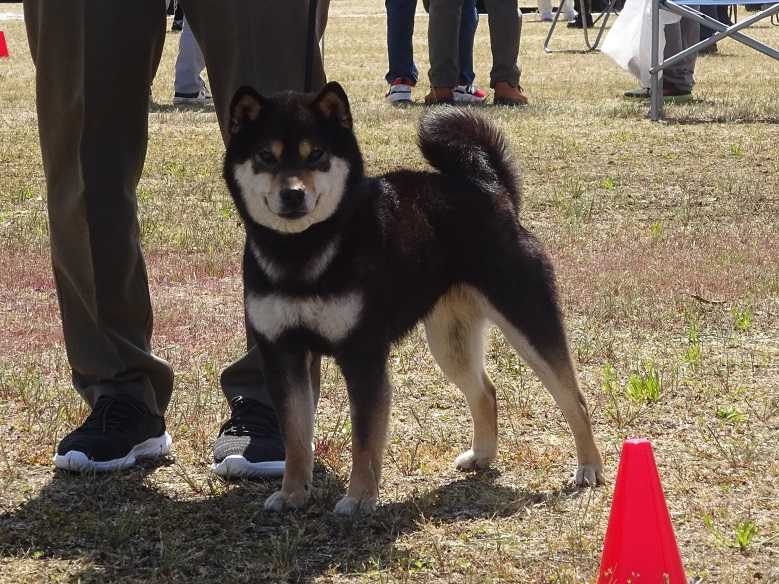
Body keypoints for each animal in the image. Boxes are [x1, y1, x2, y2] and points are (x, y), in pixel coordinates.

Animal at [223, 82, 604, 515]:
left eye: (316, 154)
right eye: (265, 156)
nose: (292, 194)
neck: (302, 251)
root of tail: (491, 189)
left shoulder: (363, 355)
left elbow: (365, 440)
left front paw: (359, 498)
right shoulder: (281, 353)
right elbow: (296, 437)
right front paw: (292, 494)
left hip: (527, 319)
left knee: (575, 399)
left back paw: (589, 467)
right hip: (450, 341)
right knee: (486, 392)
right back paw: (482, 455)